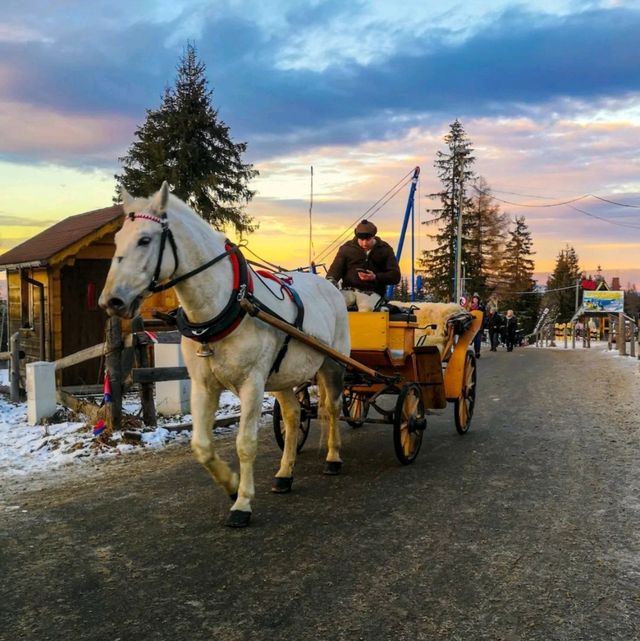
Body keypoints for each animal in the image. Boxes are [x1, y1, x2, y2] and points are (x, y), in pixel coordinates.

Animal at [99, 182, 350, 528]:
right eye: (116, 240)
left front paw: (242, 504)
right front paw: (231, 486)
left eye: (145, 239)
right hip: (282, 377)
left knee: (332, 408)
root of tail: (330, 286)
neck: (224, 306)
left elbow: (245, 444)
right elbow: (202, 446)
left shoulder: (252, 384)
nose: (110, 301)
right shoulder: (204, 385)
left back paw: (334, 457)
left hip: (332, 364)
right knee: (293, 415)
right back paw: (285, 474)